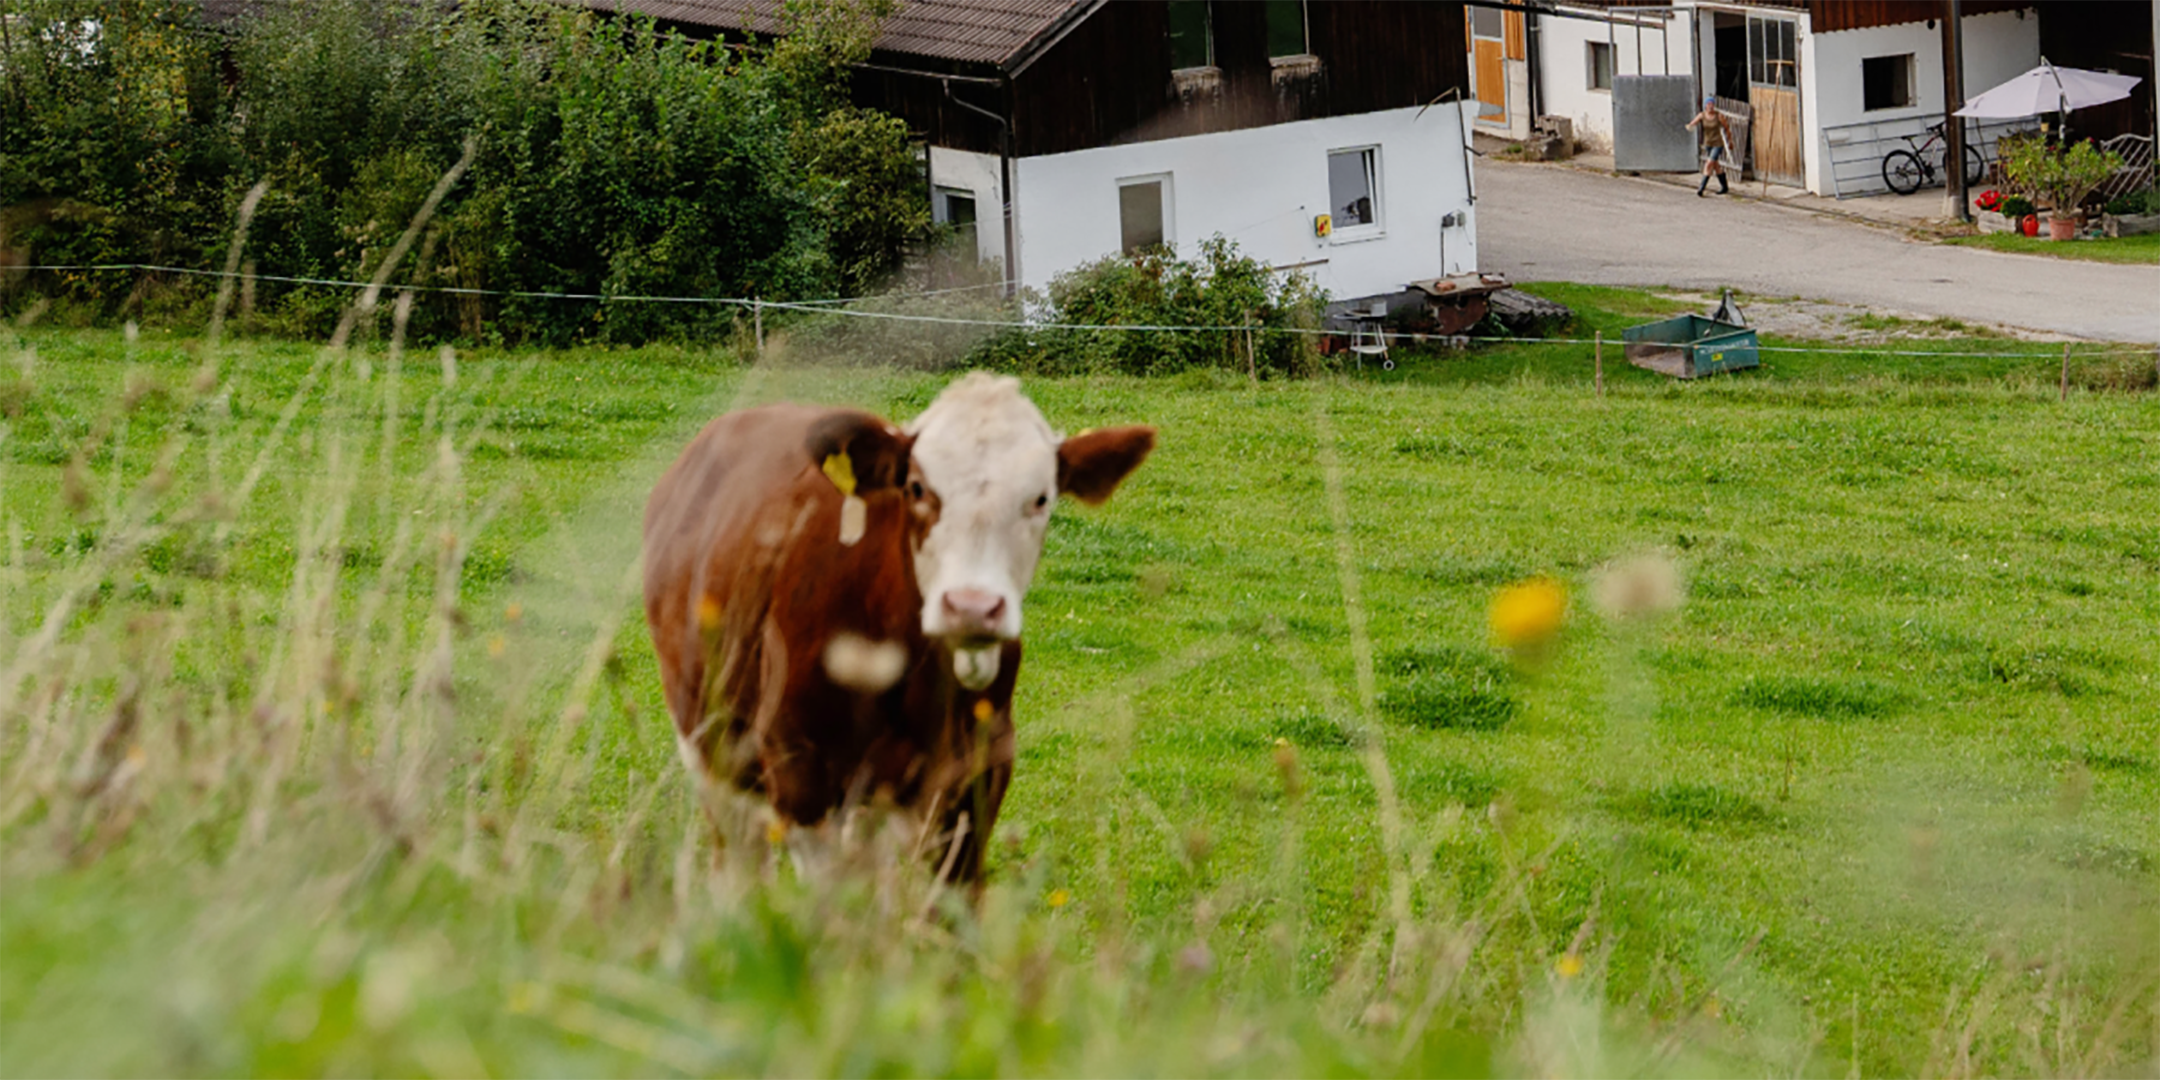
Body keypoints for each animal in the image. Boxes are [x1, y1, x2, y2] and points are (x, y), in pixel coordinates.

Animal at [642, 373, 1155, 883]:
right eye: (917, 488)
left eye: (1041, 498)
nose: (971, 607)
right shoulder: (800, 772)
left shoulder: (977, 781)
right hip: (713, 749)